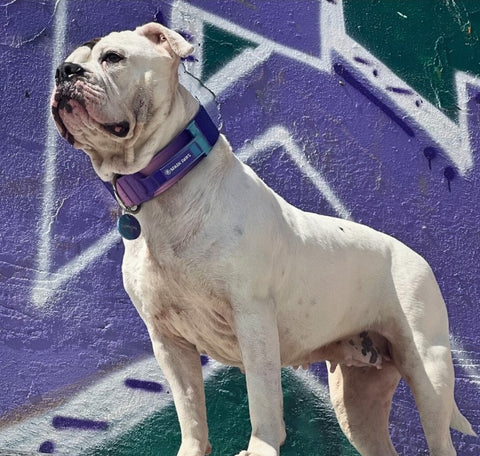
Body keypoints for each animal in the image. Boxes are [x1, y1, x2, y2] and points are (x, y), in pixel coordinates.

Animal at [50, 22, 474, 456]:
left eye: (112, 58)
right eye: (68, 62)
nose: (64, 72)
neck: (165, 186)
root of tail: (415, 255)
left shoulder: (252, 320)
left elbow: (263, 399)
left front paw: (260, 447)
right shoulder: (168, 340)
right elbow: (190, 412)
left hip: (428, 371)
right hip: (357, 402)